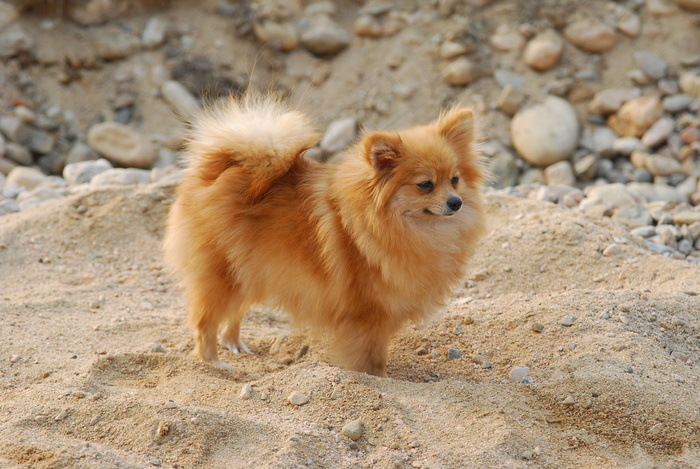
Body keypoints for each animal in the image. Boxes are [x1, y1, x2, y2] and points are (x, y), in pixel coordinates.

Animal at [163, 94, 486, 376]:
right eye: (425, 185)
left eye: (455, 179)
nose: (455, 202)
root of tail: (214, 168)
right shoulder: (366, 316)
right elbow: (370, 358)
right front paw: (375, 378)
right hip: (220, 274)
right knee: (205, 324)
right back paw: (213, 363)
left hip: (247, 270)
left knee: (234, 312)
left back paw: (233, 343)